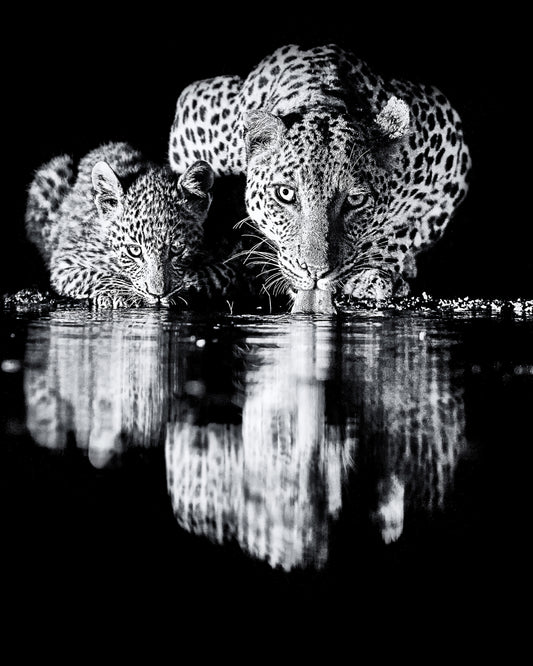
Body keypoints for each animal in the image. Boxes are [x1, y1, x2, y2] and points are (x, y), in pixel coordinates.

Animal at [25, 141, 233, 308]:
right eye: (134, 251)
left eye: (176, 249)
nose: (158, 295)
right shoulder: (66, 262)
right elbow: (94, 275)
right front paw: (121, 293)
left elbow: (216, 275)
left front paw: (186, 285)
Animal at [168, 43, 471, 313]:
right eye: (286, 194)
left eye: (356, 200)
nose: (315, 272)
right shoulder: (194, 111)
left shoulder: (449, 149)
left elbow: (402, 228)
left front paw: (375, 272)